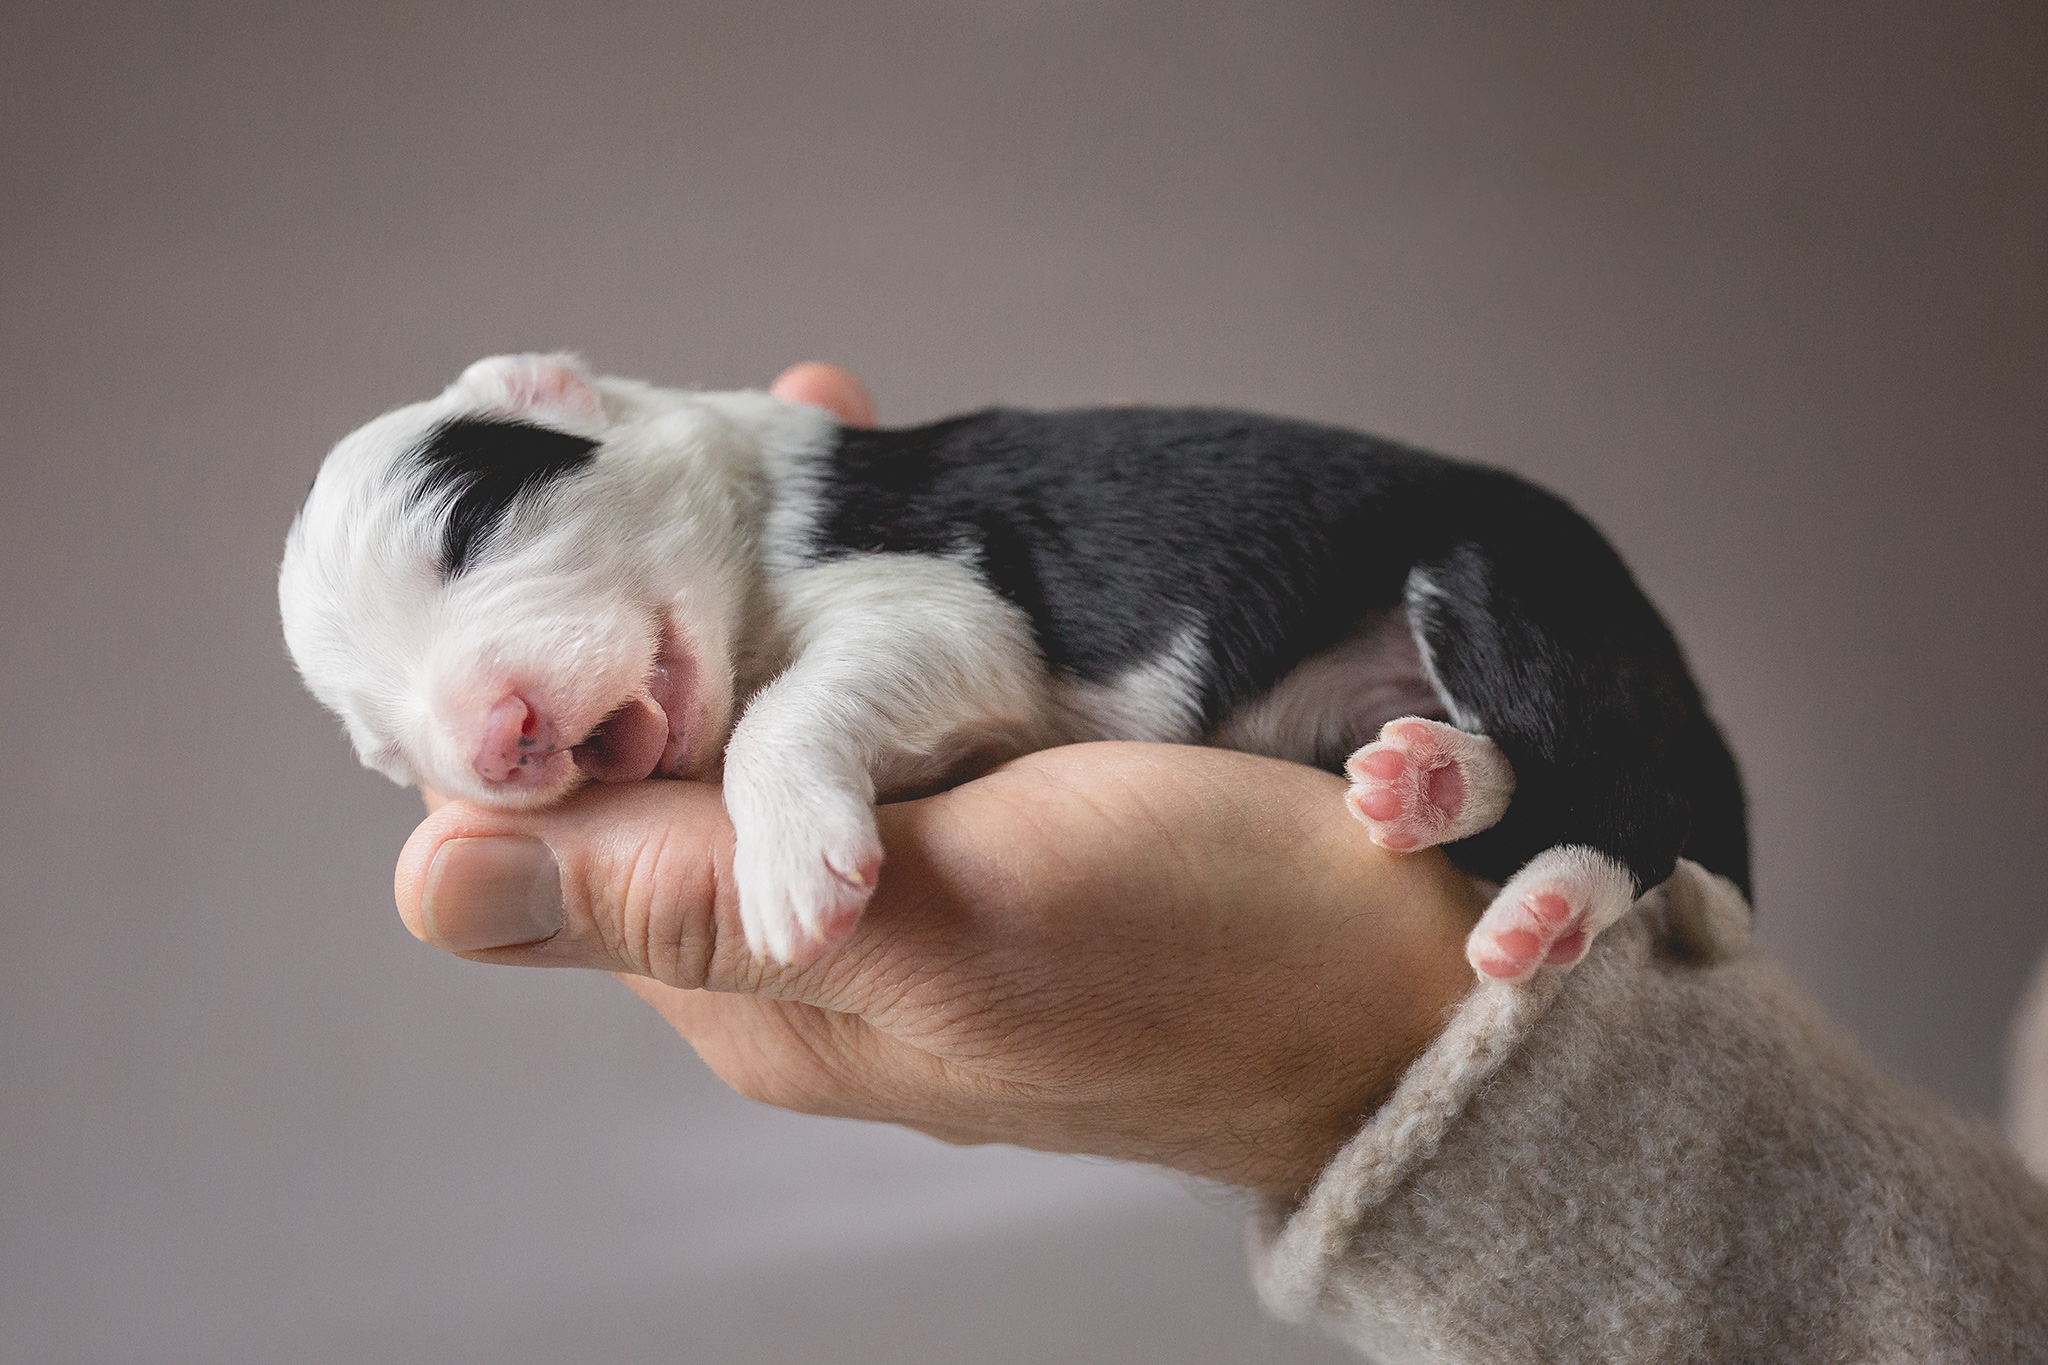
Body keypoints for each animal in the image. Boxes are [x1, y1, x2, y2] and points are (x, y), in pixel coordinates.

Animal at [280, 351, 1753, 970]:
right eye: (382, 746)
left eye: (468, 528)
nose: (497, 742)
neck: (759, 512)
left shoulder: (938, 594)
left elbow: (782, 714)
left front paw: (792, 865)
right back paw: (1427, 782)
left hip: (1500, 581)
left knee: (1620, 802)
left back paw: (1545, 903)